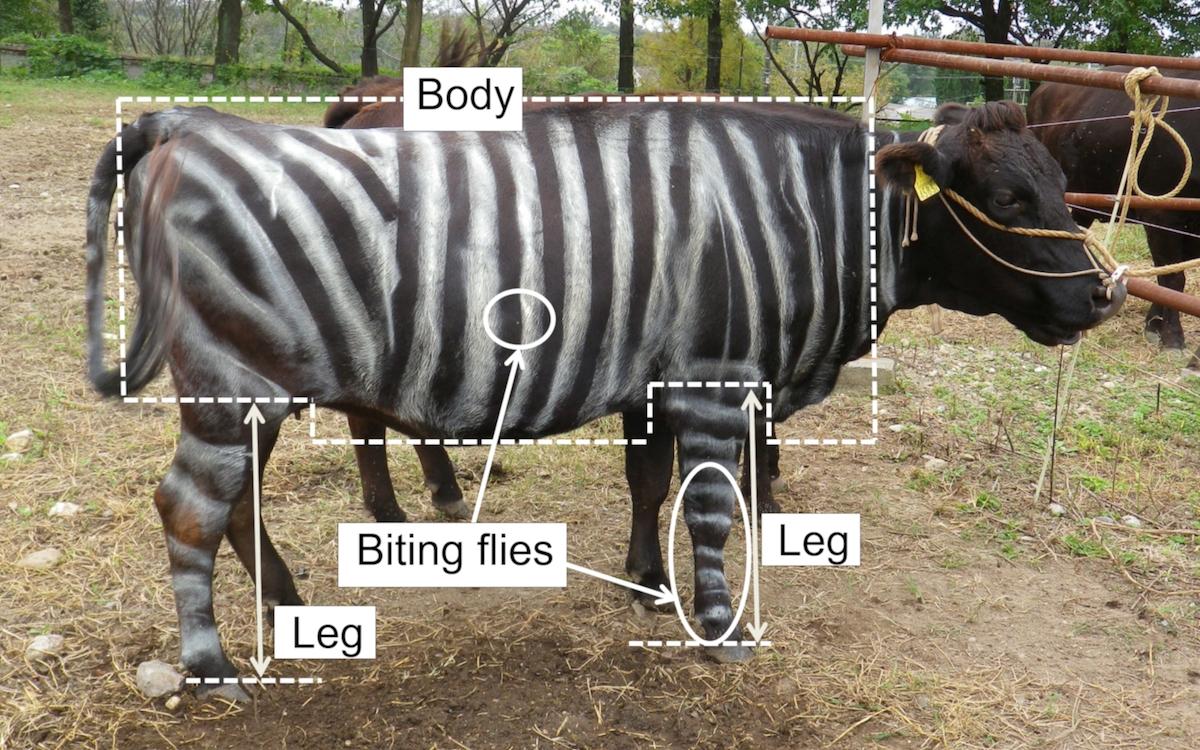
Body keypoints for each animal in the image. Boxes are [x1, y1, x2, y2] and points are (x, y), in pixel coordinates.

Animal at [85, 99, 1124, 699]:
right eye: (1008, 200)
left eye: (1064, 192)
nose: (1105, 298)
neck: (795, 214)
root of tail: (188, 126)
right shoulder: (712, 378)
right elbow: (709, 507)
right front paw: (719, 628)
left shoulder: (656, 378)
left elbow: (647, 483)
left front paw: (647, 585)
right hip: (236, 383)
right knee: (189, 508)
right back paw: (212, 669)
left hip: (261, 387)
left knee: (235, 505)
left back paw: (287, 605)